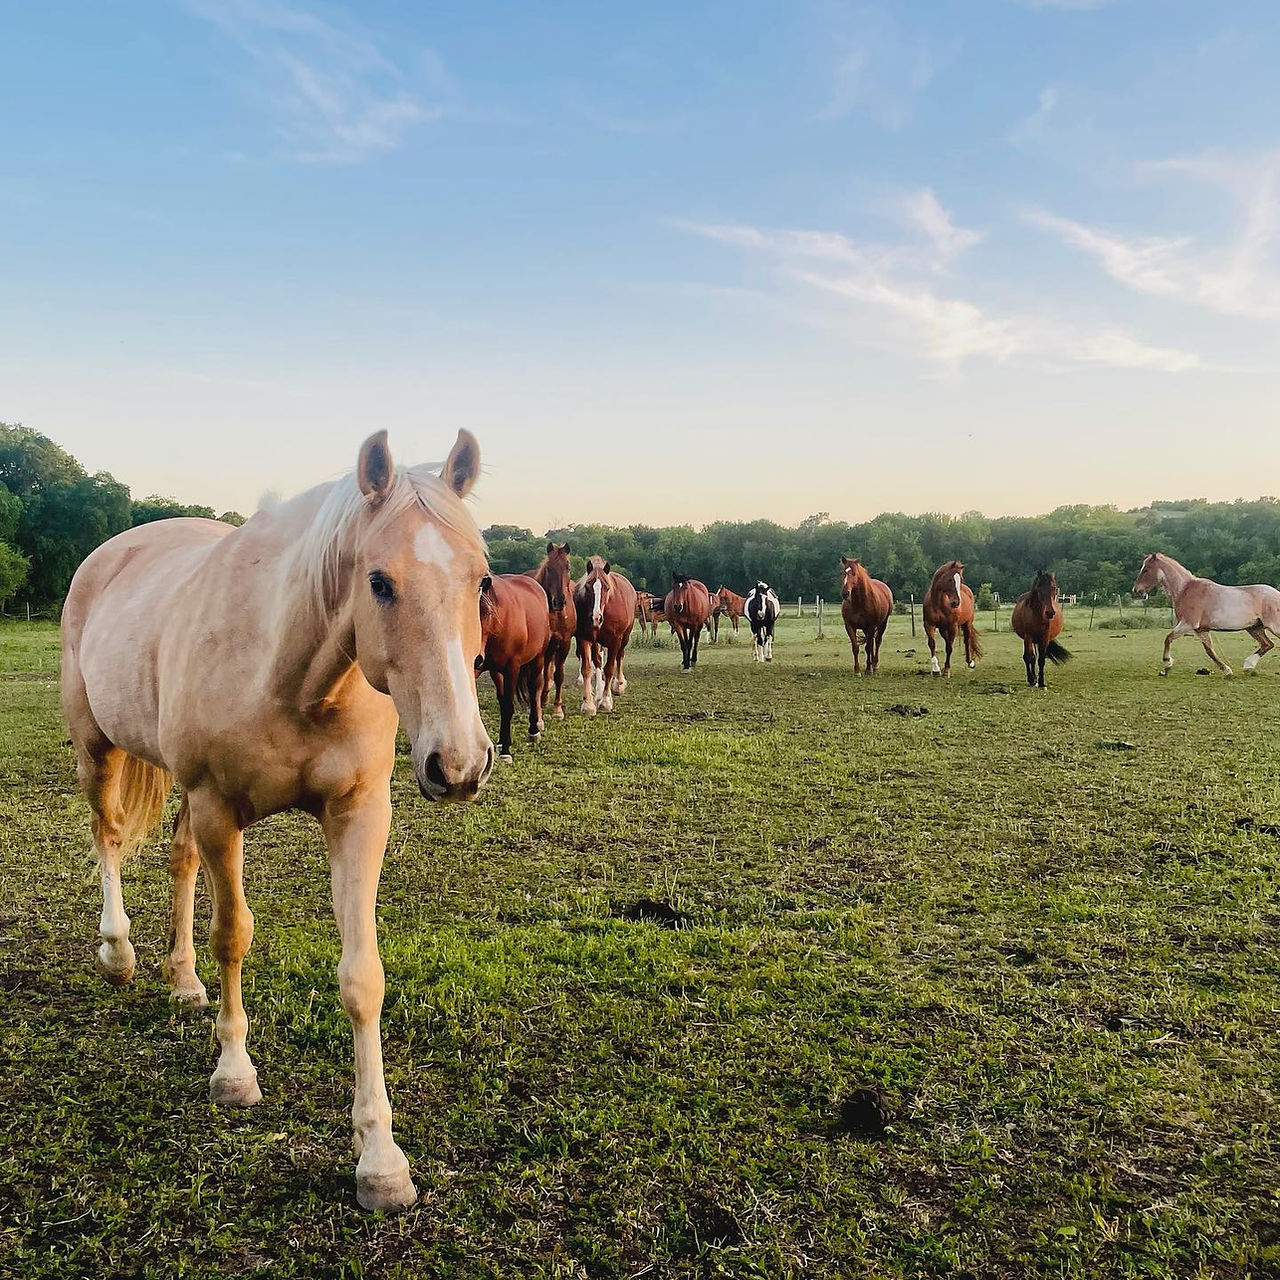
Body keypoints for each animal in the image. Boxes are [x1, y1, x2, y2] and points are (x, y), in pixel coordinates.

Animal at [60, 430, 492, 1212]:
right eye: (379, 581)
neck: (290, 674)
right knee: (107, 837)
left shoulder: (358, 813)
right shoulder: (218, 808)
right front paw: (234, 1072)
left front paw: (380, 1159)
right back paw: (119, 954)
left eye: (481, 581)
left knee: (178, 860)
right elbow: (233, 935)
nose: (460, 763)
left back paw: (182, 979)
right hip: (96, 748)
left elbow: (362, 975)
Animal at [479, 573, 551, 761]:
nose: (477, 659)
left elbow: (508, 707)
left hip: (538, 658)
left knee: (534, 688)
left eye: (488, 613)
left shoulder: (512, 668)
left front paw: (506, 750)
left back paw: (534, 730)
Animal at [527, 542, 576, 719]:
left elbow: (558, 675)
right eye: (549, 568)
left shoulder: (564, 642)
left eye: (568, 567)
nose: (559, 601)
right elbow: (542, 675)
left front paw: (557, 708)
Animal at [573, 555, 638, 714]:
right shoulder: (584, 638)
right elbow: (587, 668)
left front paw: (606, 701)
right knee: (597, 661)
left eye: (607, 588)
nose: (596, 618)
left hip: (624, 638)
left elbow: (609, 668)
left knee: (619, 657)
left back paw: (618, 685)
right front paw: (588, 704)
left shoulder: (615, 640)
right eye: (587, 587)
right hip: (597, 642)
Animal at [1134, 552, 1280, 676]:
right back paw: (1248, 666)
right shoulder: (1201, 630)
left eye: (1146, 569)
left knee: (1268, 644)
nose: (1136, 590)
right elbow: (1209, 650)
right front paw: (1227, 671)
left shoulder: (1188, 624)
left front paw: (1167, 664)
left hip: (1272, 627)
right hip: (1254, 628)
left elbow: (1168, 638)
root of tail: (1276, 594)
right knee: (1267, 644)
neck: (1184, 590)